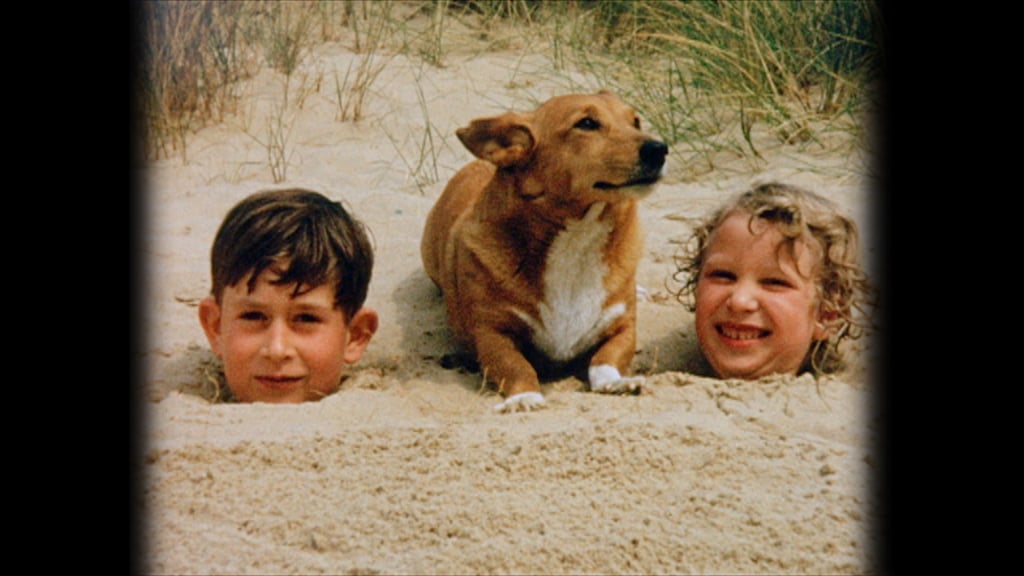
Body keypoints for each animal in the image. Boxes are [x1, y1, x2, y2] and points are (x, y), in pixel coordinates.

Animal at [419, 89, 667, 409]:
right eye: (587, 123)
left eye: (636, 121)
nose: (660, 149)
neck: (578, 236)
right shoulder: (492, 333)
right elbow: (516, 365)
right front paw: (524, 396)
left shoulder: (623, 328)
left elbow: (606, 359)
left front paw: (616, 382)